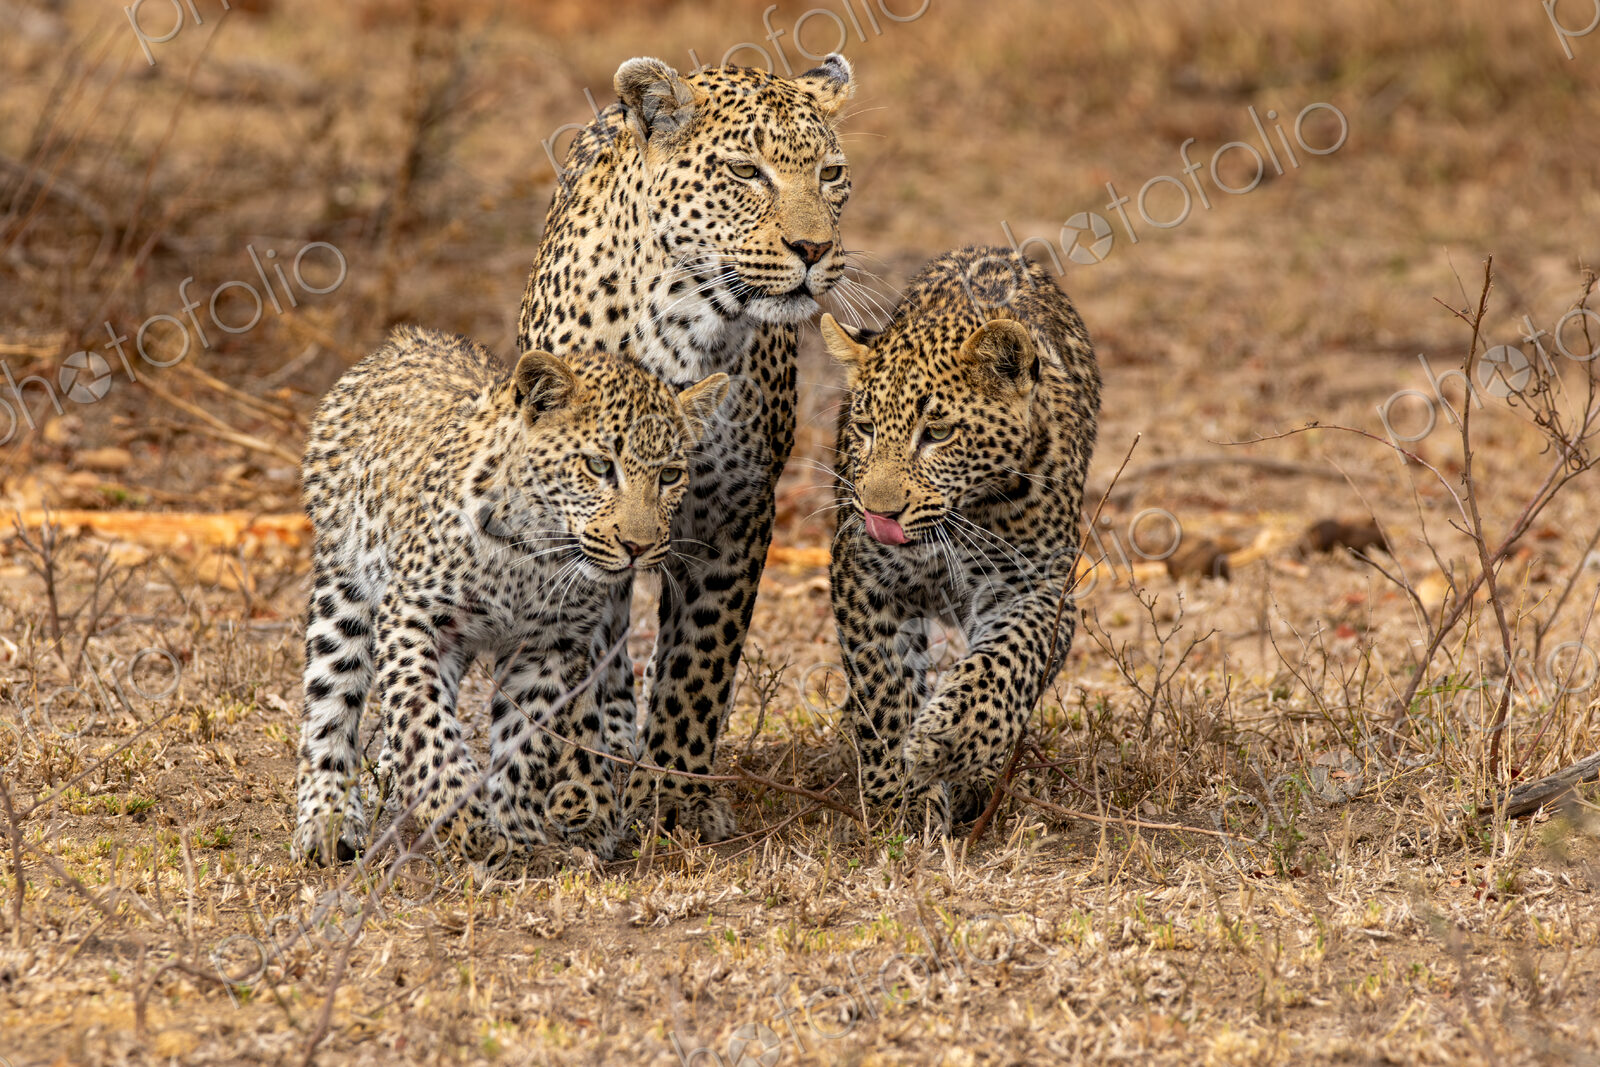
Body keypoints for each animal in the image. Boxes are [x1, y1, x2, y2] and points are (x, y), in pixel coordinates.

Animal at [292, 324, 727, 866]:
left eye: (670, 475)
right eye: (599, 466)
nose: (638, 547)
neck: (534, 554)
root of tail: (405, 340)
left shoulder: (547, 647)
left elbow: (526, 743)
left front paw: (514, 830)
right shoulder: (411, 617)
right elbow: (424, 723)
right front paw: (461, 815)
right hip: (344, 583)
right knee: (330, 701)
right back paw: (328, 819)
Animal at [516, 53, 856, 844]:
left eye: (830, 174)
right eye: (746, 171)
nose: (814, 250)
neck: (685, 328)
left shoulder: (734, 509)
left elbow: (701, 659)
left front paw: (674, 792)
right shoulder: (580, 515)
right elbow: (582, 664)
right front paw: (582, 793)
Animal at [822, 246, 1102, 830]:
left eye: (938, 433)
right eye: (866, 428)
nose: (878, 514)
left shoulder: (1039, 585)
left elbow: (1008, 660)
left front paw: (950, 740)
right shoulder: (861, 575)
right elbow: (883, 688)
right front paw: (900, 799)